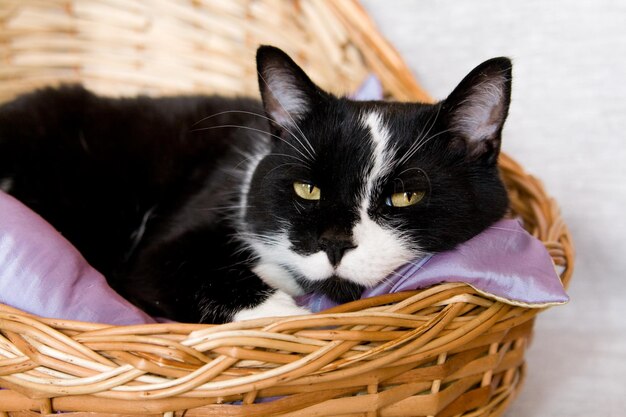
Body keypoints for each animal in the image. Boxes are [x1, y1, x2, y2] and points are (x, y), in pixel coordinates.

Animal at [0, 47, 510, 324]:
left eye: (405, 196)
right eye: (307, 189)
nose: (333, 243)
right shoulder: (168, 243)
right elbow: (176, 269)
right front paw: (286, 314)